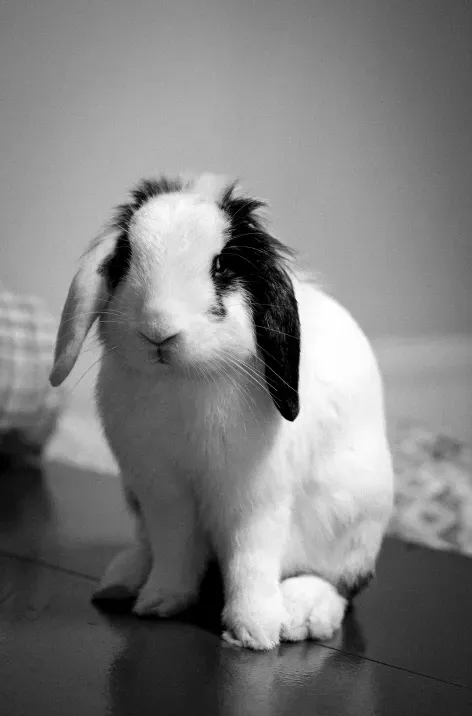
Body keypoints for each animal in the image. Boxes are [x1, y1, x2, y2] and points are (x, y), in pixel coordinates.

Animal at [49, 173, 394, 651]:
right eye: (125, 258)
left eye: (222, 266)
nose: (158, 330)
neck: (184, 380)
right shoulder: (162, 492)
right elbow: (174, 548)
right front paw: (159, 602)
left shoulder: (253, 498)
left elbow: (250, 560)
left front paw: (255, 633)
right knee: (152, 549)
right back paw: (122, 582)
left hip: (353, 524)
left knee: (341, 582)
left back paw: (301, 614)